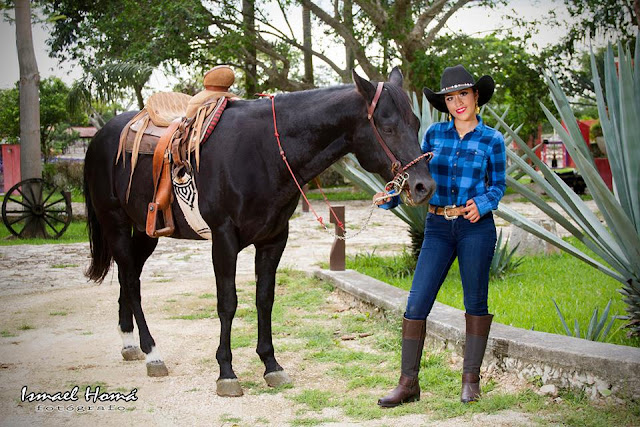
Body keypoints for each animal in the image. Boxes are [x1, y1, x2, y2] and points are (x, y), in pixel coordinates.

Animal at [84, 67, 436, 398]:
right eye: (387, 127)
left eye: (416, 124)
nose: (424, 186)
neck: (263, 150)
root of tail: (100, 136)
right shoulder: (223, 239)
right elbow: (228, 302)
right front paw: (226, 372)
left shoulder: (274, 239)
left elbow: (264, 299)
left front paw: (271, 365)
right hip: (115, 223)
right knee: (131, 281)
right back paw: (152, 352)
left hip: (147, 231)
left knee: (129, 276)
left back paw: (129, 342)